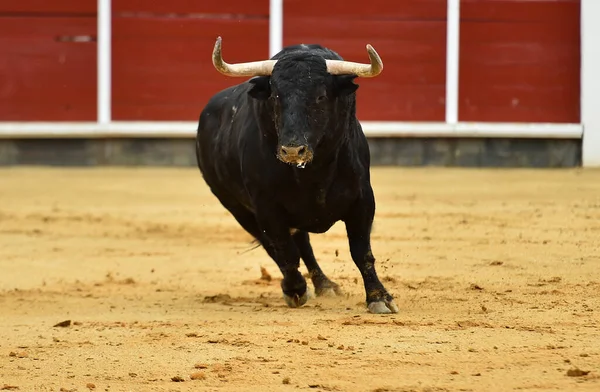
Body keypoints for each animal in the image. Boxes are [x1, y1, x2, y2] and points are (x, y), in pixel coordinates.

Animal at [195, 35, 396, 314]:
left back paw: (325, 285)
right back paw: (302, 286)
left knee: (302, 244)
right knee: (278, 246)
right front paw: (295, 289)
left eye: (321, 96)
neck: (314, 172)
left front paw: (379, 297)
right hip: (236, 207)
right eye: (276, 96)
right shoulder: (266, 208)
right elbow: (284, 251)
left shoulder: (363, 200)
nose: (292, 150)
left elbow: (361, 251)